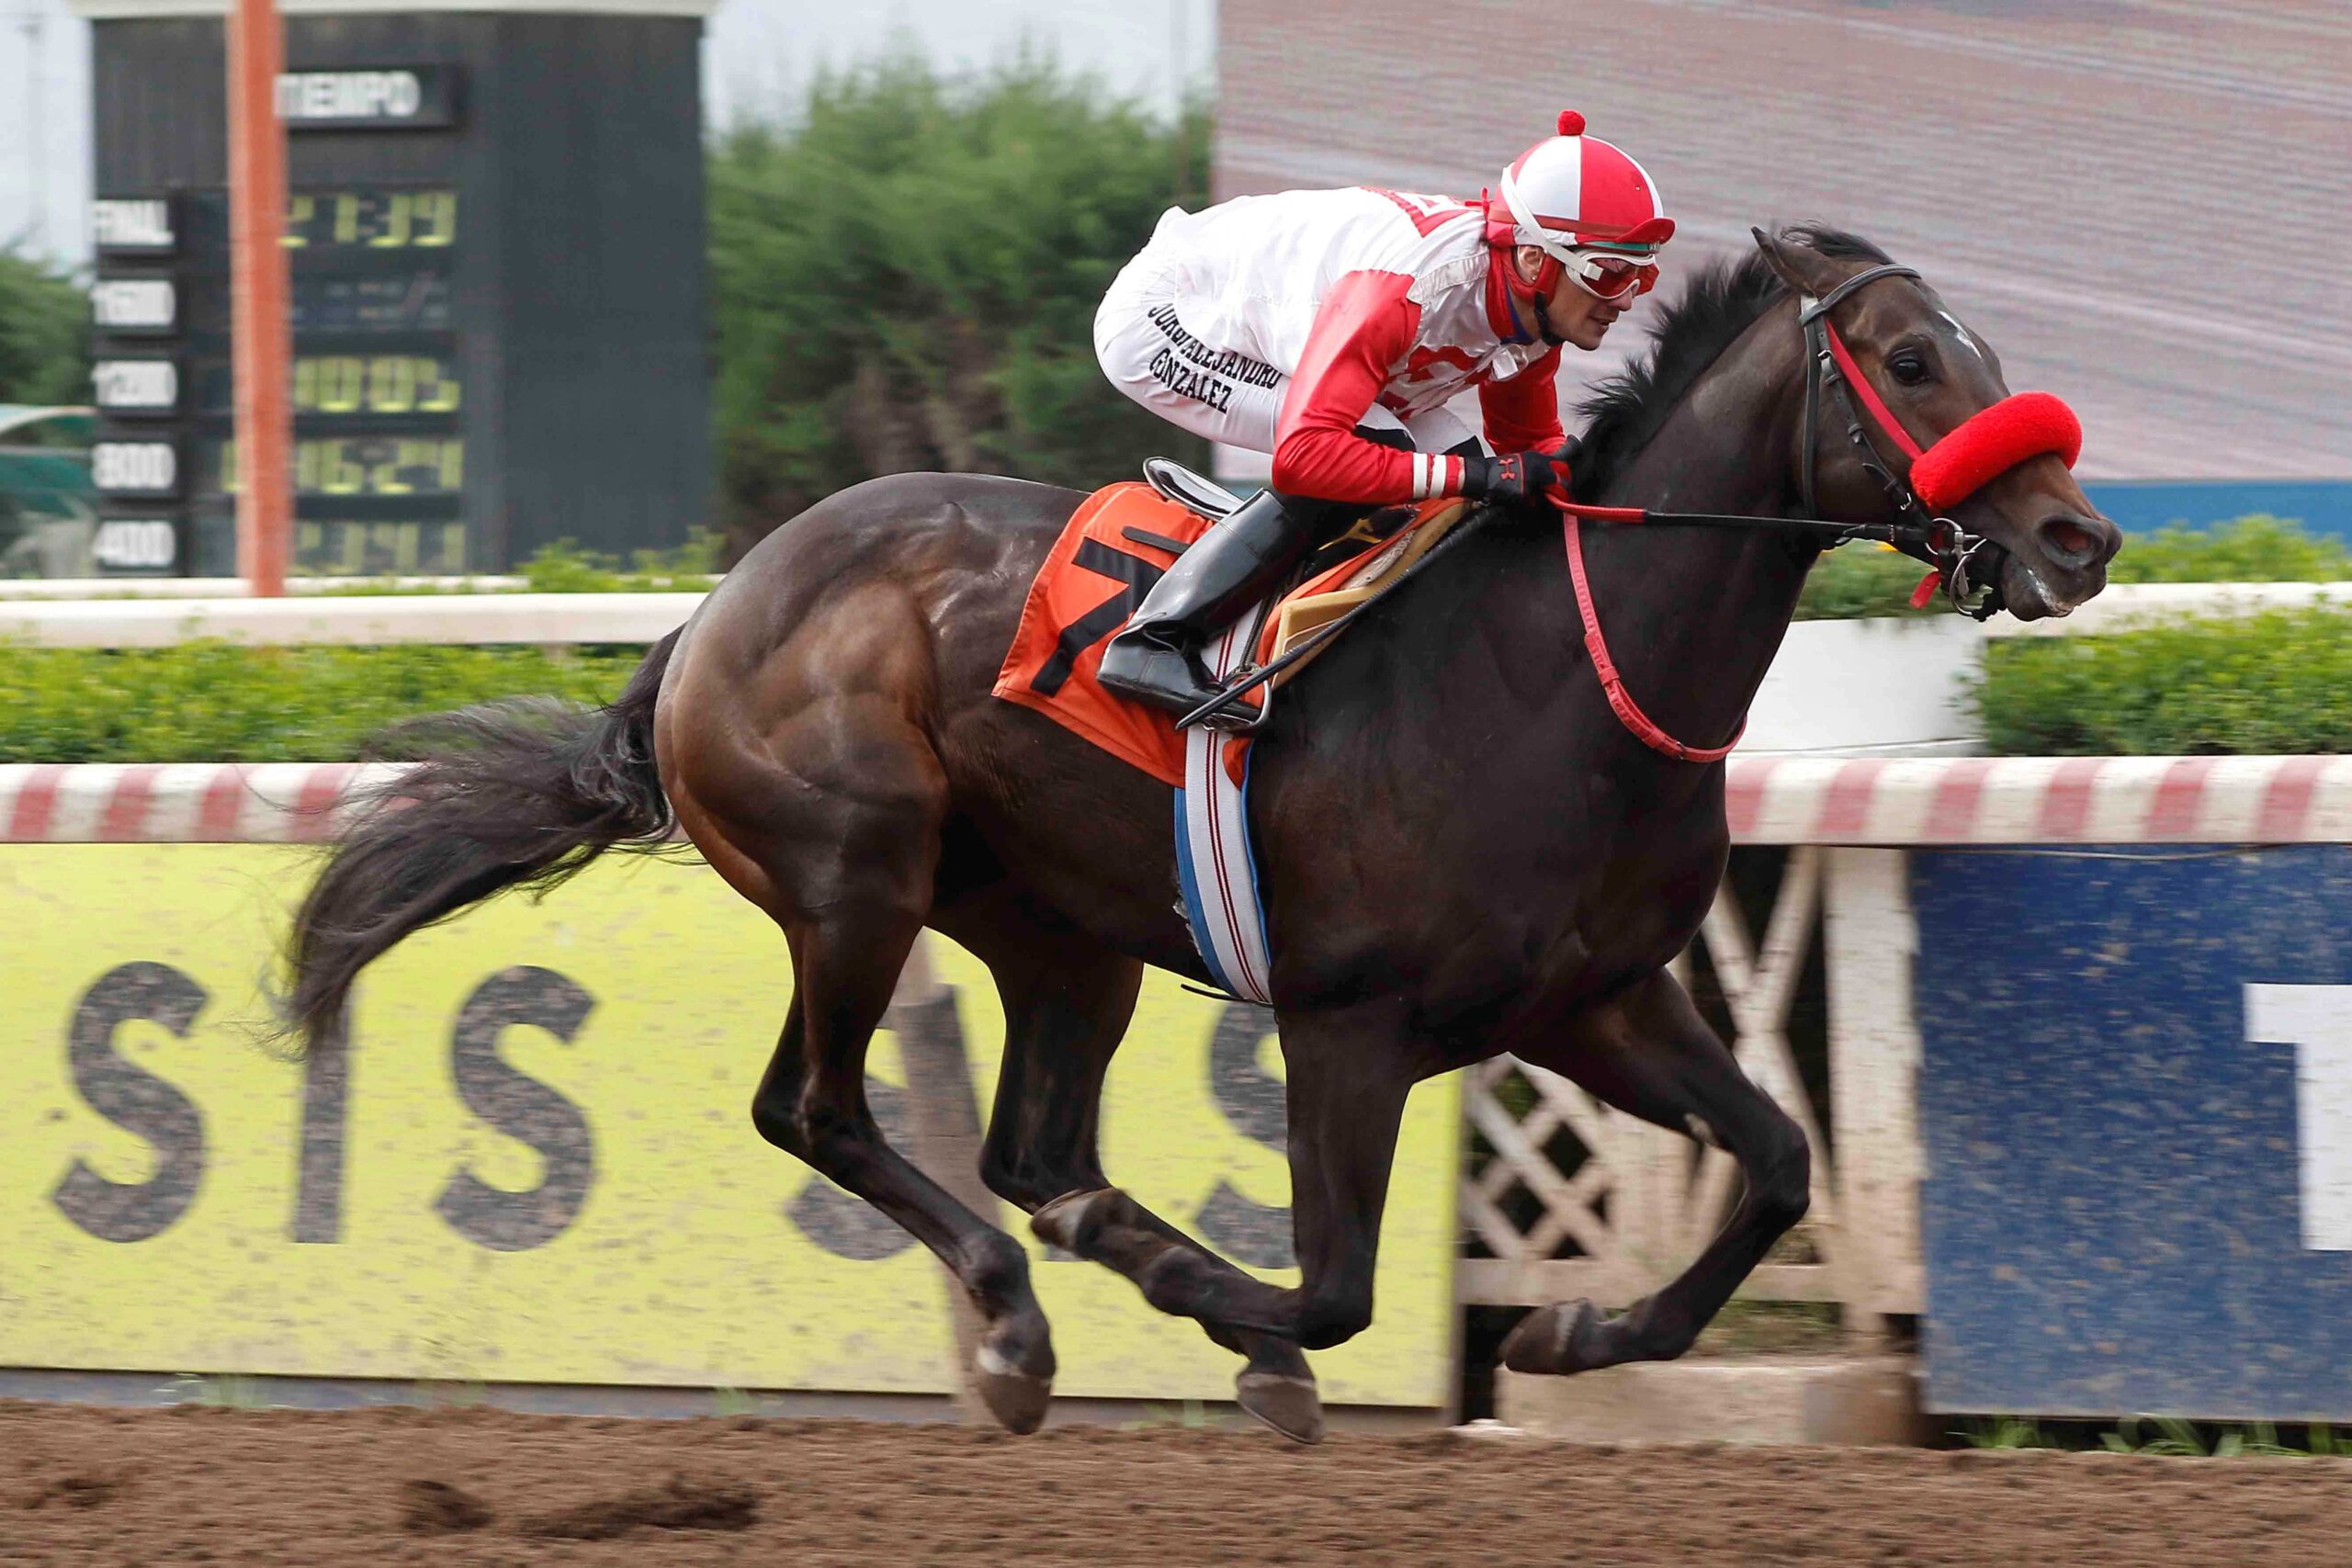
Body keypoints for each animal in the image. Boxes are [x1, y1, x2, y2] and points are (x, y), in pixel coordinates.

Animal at [278, 224, 2119, 1443]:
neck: (1555, 672)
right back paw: (1017, 1327)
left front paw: (1574, 1328)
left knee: (1031, 1148)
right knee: (818, 1108)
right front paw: (1249, 1338)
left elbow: (1775, 1160)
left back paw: (1069, 1260)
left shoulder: (1595, 998)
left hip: (1061, 932)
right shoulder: (1352, 1022)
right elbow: (1334, 1289)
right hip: (853, 877)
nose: (2077, 537)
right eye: (1910, 360)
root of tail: (716, 609)